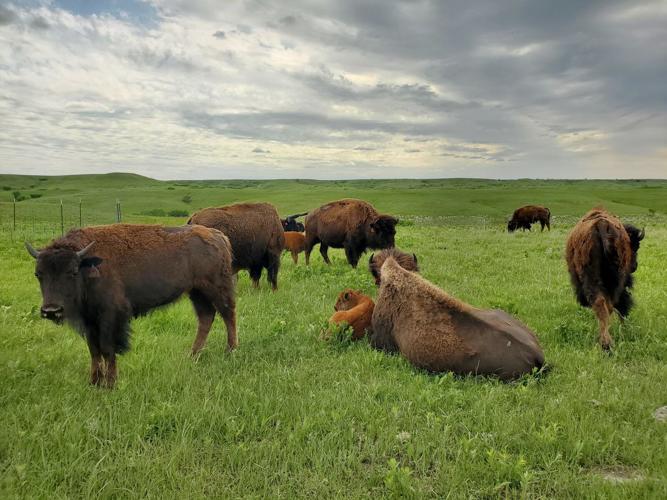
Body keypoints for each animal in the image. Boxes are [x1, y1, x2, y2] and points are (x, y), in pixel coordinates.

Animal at [26, 224, 237, 388]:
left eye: (72, 272)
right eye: (38, 274)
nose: (51, 310)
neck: (88, 265)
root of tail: (219, 236)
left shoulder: (110, 317)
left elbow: (108, 349)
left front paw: (110, 384)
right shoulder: (90, 322)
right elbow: (94, 351)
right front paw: (94, 382)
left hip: (216, 289)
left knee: (228, 315)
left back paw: (230, 351)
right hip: (197, 292)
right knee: (206, 318)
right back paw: (192, 355)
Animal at [565, 208, 644, 350]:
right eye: (635, 247)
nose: (634, 266)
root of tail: (601, 225)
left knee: (604, 304)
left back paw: (606, 343)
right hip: (615, 281)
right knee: (610, 304)